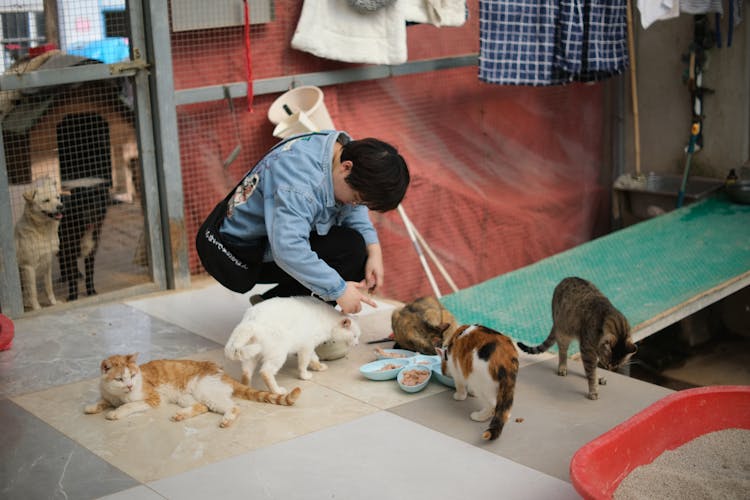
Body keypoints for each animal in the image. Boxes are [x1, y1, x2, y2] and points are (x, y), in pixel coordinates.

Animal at [13, 176, 64, 308]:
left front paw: (53, 303)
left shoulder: (48, 263)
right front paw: (37, 308)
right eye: (46, 200)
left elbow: (49, 287)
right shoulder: (28, 267)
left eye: (57, 197)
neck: (43, 232)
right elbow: (33, 292)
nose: (60, 206)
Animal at [83, 354, 302, 428]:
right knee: (202, 407)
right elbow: (103, 401)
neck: (119, 394)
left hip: (206, 391)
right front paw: (92, 407)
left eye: (133, 376)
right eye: (120, 379)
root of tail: (222, 372)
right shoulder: (108, 395)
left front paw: (115, 413)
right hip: (186, 397)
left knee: (233, 407)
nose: (129, 385)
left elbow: (129, 406)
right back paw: (180, 416)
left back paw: (226, 420)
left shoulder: (152, 398)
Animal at [225, 296, 362, 394]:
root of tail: (251, 321)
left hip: (252, 355)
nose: (357, 344)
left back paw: (247, 388)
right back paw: (277, 391)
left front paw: (318, 366)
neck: (328, 321)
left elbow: (314, 358)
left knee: (246, 372)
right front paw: (304, 375)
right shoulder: (307, 345)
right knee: (266, 372)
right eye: (355, 336)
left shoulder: (309, 345)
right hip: (279, 353)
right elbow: (304, 363)